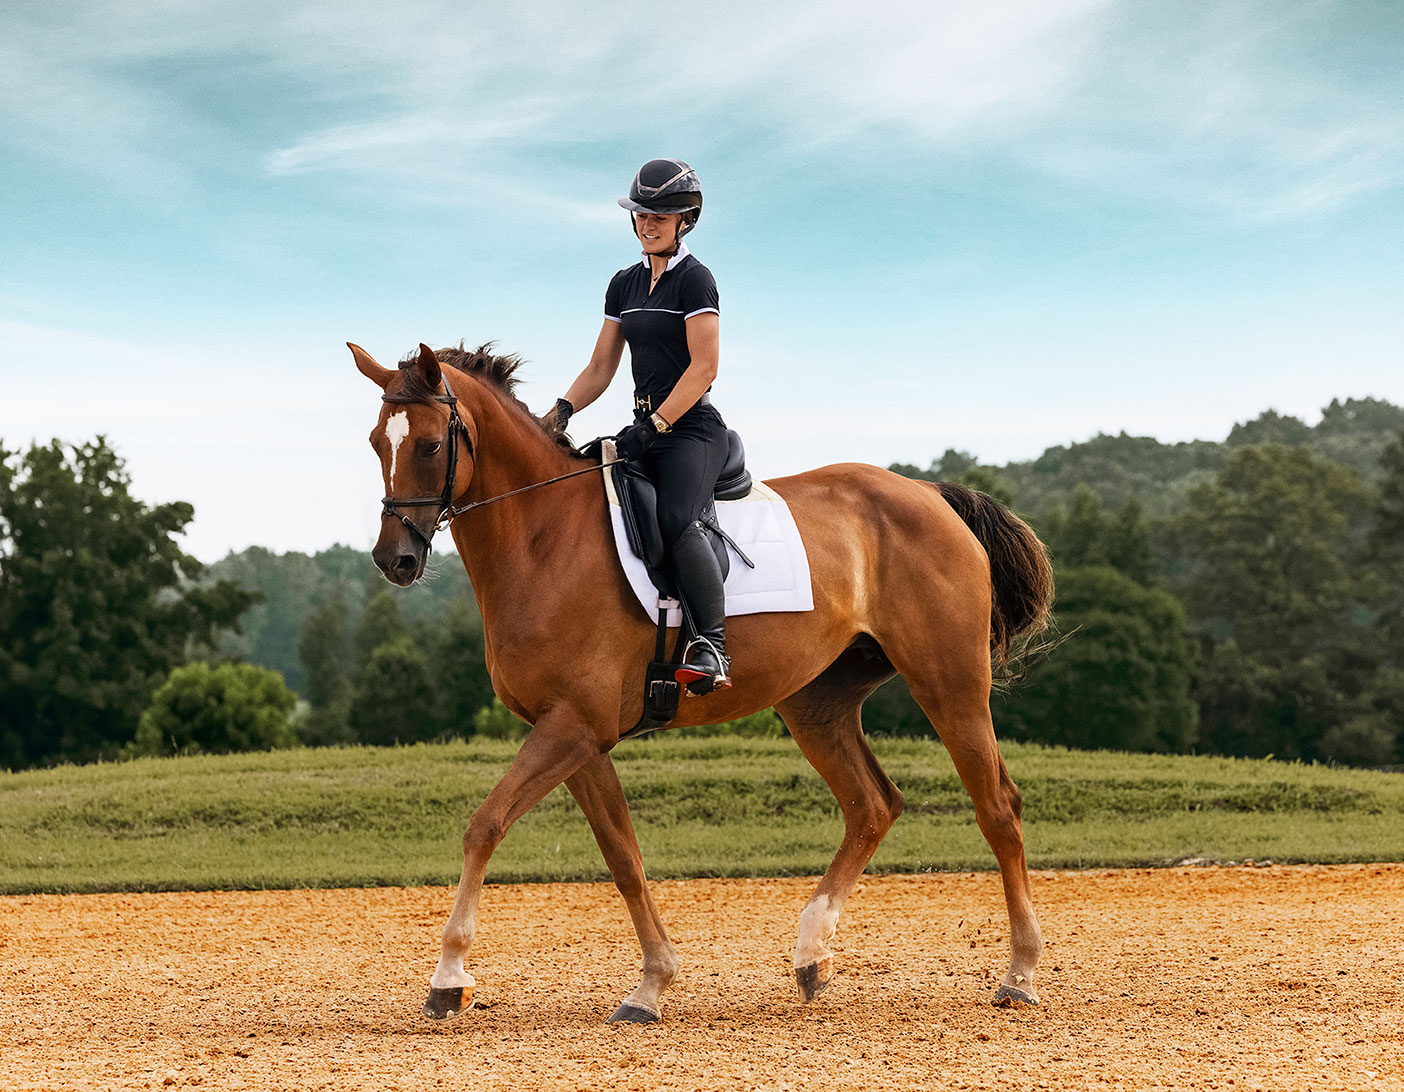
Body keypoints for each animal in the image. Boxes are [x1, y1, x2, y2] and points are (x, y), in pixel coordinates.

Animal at [350, 340, 1054, 1023]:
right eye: (377, 442)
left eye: (429, 445)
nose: (394, 560)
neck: (543, 537)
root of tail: (929, 494)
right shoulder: (578, 738)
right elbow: (623, 858)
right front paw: (651, 984)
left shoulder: (572, 727)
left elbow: (485, 825)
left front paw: (448, 977)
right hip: (816, 706)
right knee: (872, 805)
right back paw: (812, 954)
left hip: (948, 683)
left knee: (998, 808)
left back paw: (1019, 973)